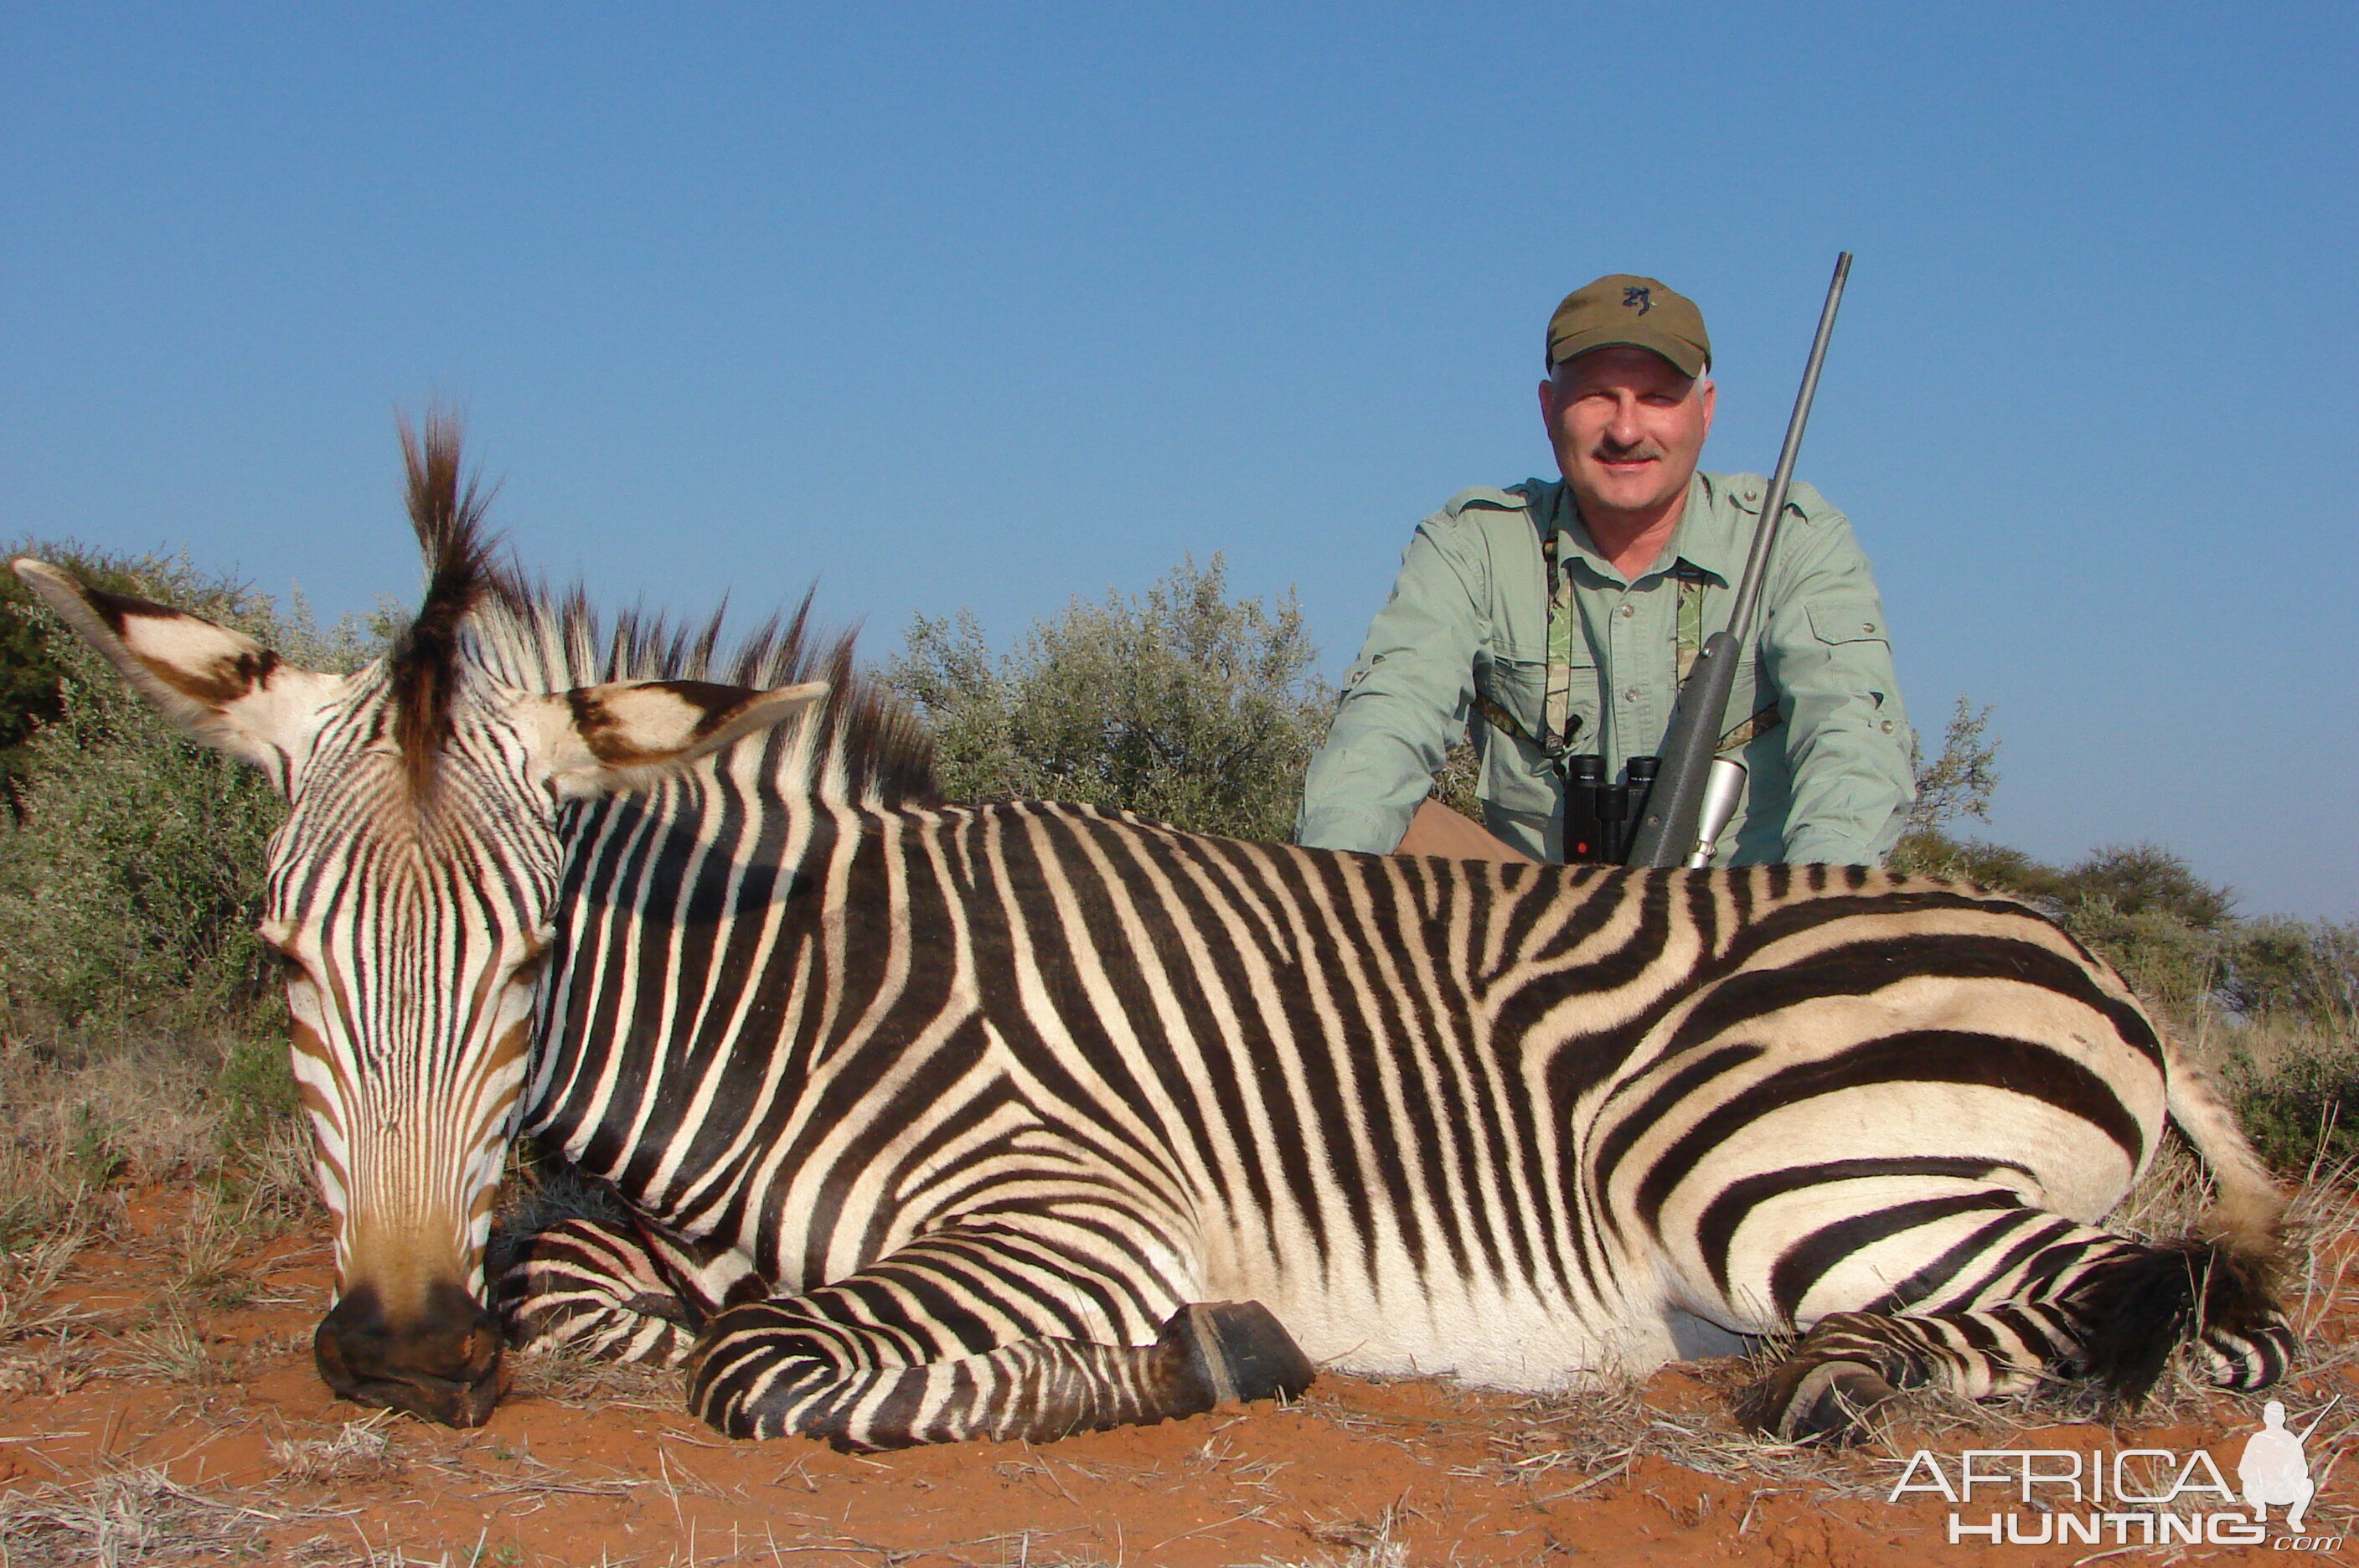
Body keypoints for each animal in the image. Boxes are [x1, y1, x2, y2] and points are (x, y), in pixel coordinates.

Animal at [13, 415, 2302, 1442]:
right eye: (282, 966)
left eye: (527, 959)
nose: (399, 1356)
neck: (798, 997)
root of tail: (2092, 962)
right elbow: (595, 1285)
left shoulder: (1071, 1213)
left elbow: (764, 1359)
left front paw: (1200, 1352)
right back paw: (1826, 1375)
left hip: (1776, 1166)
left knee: (2198, 1314)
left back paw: (1831, 1387)